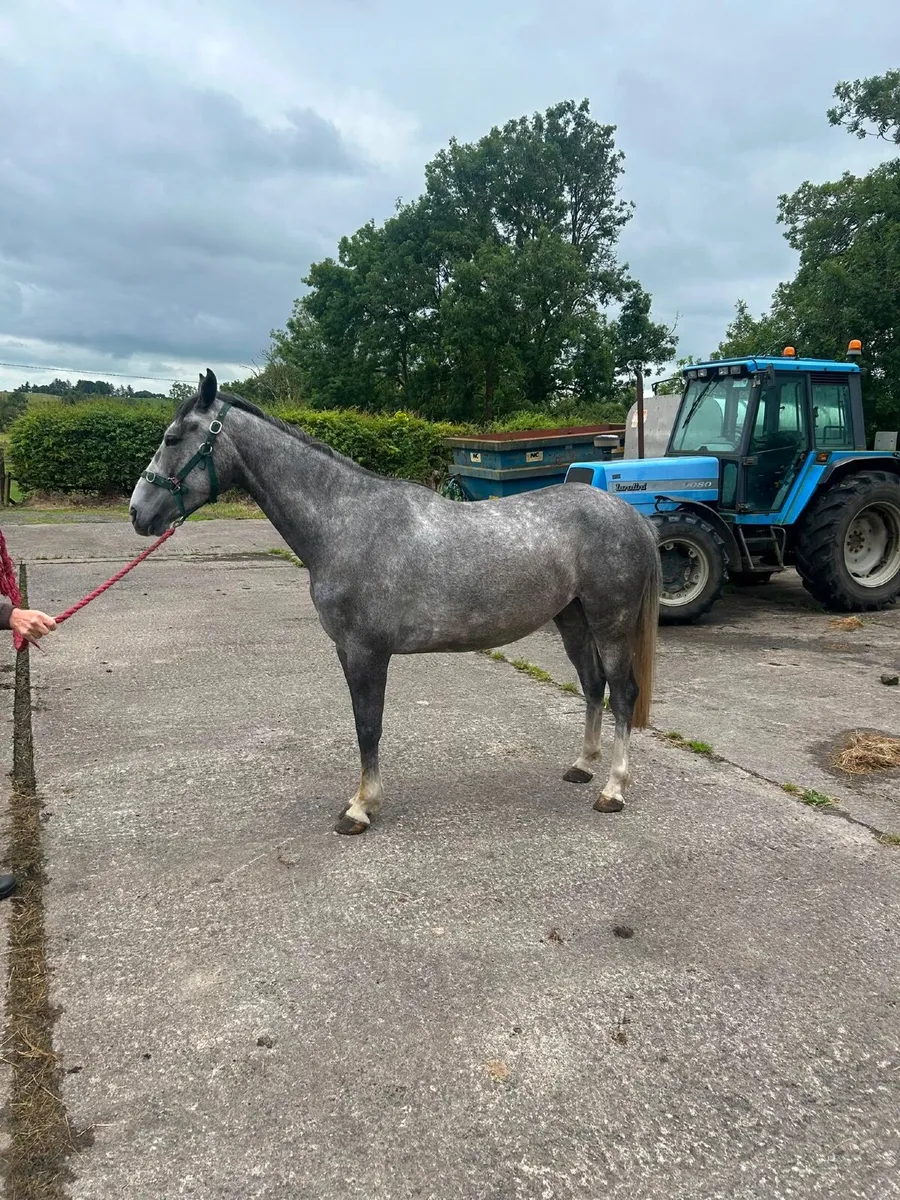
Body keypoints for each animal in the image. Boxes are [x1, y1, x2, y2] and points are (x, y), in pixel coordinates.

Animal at [130, 371, 662, 835]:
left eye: (172, 438)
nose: (137, 512)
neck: (346, 523)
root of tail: (631, 515)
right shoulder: (350, 651)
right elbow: (365, 725)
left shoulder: (366, 652)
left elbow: (368, 726)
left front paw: (361, 808)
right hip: (573, 618)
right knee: (592, 685)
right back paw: (582, 766)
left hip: (610, 622)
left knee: (623, 693)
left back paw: (613, 790)